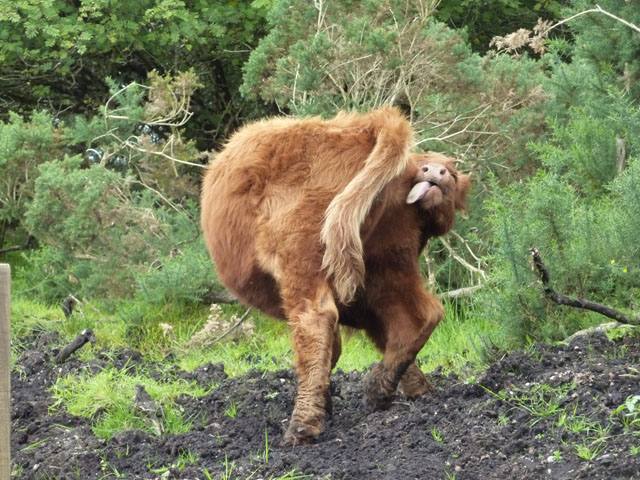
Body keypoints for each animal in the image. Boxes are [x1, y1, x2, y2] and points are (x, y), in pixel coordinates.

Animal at [200, 107, 470, 444]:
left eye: (455, 174)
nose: (436, 170)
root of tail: (362, 126)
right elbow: (369, 342)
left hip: (301, 259)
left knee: (314, 322)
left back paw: (301, 427)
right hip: (388, 266)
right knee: (419, 315)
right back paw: (387, 391)